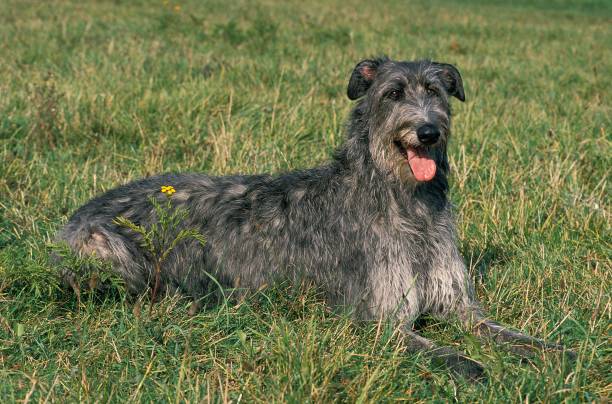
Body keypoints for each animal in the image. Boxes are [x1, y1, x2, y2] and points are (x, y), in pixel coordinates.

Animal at [56, 57, 572, 382]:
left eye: (437, 91)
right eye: (393, 93)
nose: (428, 132)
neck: (404, 203)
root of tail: (78, 213)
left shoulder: (460, 306)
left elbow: (507, 333)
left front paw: (558, 352)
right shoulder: (377, 322)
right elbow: (445, 352)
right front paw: (473, 367)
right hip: (108, 249)